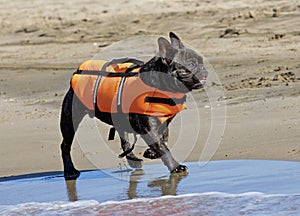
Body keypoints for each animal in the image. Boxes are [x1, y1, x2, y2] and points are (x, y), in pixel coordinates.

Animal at [59, 32, 207, 181]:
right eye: (191, 64)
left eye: (201, 61)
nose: (203, 68)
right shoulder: (147, 126)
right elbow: (162, 146)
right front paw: (175, 167)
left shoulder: (163, 122)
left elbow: (163, 137)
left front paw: (152, 152)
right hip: (70, 119)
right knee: (65, 145)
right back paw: (70, 171)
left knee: (125, 141)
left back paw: (133, 160)